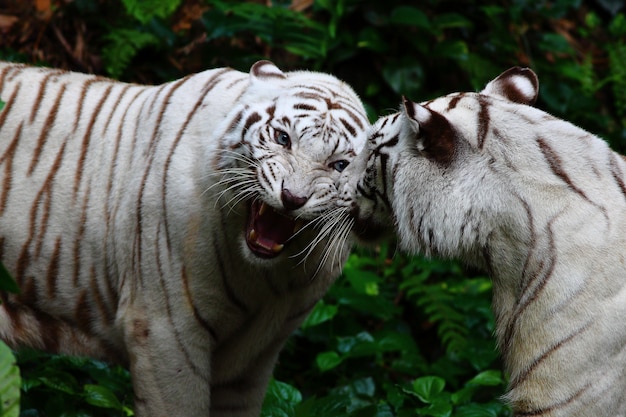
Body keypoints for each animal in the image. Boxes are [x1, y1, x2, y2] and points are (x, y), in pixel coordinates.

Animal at [0, 60, 368, 416]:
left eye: (339, 165)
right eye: (282, 137)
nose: (293, 198)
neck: (268, 280)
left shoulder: (253, 359)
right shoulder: (166, 329)